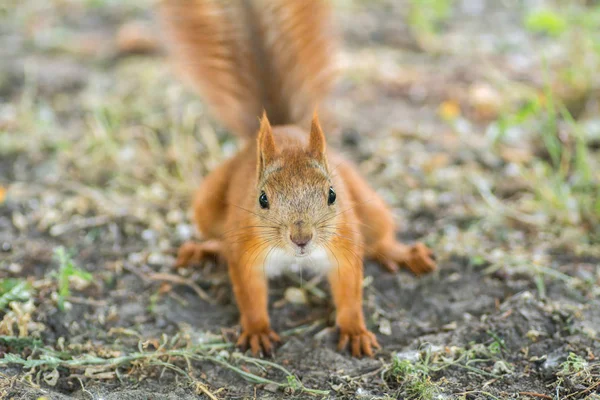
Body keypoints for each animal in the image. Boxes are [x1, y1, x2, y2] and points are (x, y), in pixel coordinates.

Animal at [159, 0, 436, 356]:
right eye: (262, 199)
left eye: (332, 194)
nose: (301, 238)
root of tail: (283, 127)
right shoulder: (245, 251)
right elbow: (249, 295)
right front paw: (258, 330)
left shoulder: (344, 244)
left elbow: (350, 291)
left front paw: (355, 331)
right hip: (207, 204)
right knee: (215, 234)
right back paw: (204, 249)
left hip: (369, 205)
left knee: (380, 236)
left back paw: (401, 254)